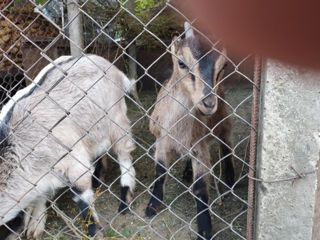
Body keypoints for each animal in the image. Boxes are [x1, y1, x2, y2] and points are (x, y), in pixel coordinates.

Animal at [146, 22, 235, 238]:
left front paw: (204, 229)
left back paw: (229, 177)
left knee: (227, 141)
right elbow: (159, 172)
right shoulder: (161, 141)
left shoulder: (200, 147)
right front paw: (152, 206)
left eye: (224, 66)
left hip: (224, 118)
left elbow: (200, 188)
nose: (208, 104)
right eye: (182, 63)